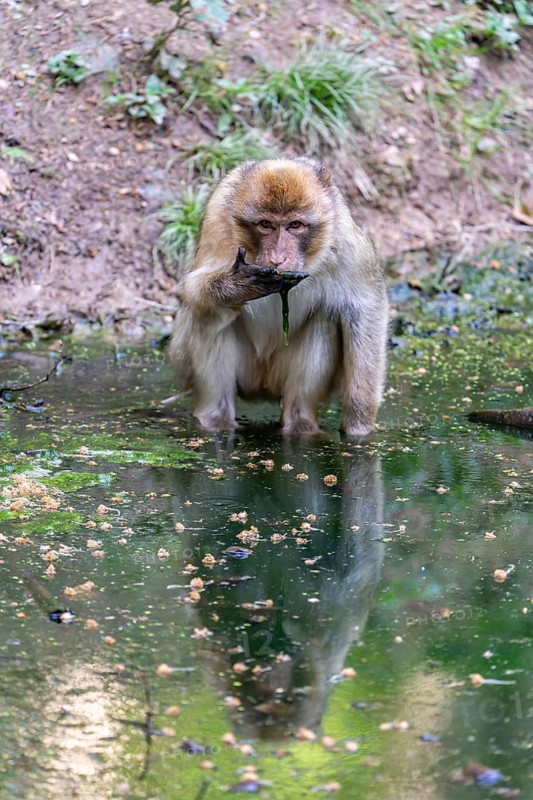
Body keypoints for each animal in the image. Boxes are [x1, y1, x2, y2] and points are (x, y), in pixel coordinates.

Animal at [169, 157, 388, 437]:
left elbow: (366, 307)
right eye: (266, 224)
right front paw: (237, 285)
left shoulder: (345, 239)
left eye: (295, 225)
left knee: (325, 317)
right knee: (205, 316)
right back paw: (216, 419)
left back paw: (300, 424)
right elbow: (191, 290)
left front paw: (359, 427)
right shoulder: (217, 222)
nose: (277, 259)